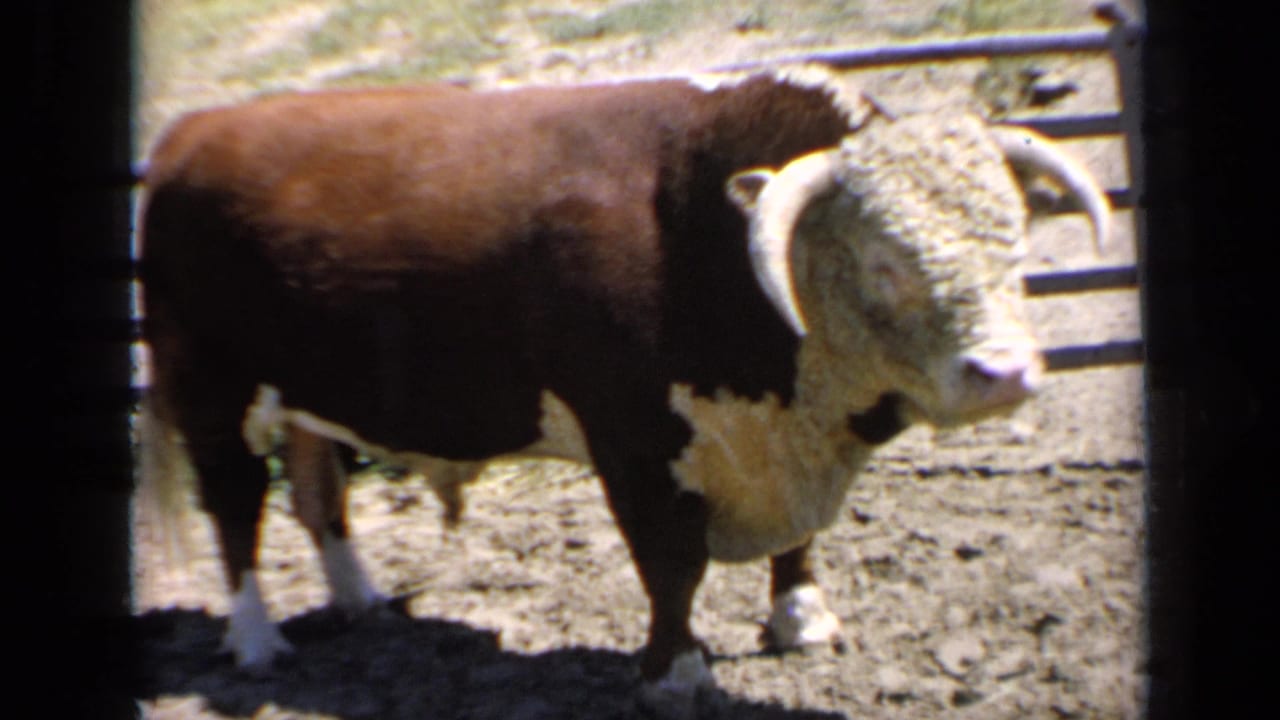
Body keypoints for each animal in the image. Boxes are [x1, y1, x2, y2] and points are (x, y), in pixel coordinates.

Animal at [136, 66, 1109, 711]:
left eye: (1015, 241)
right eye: (884, 263)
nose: (1005, 373)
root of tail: (192, 134)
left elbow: (799, 545)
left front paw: (801, 617)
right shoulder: (633, 439)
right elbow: (670, 565)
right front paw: (676, 671)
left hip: (311, 388)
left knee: (319, 491)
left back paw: (358, 599)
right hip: (208, 386)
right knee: (236, 510)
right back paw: (256, 641)